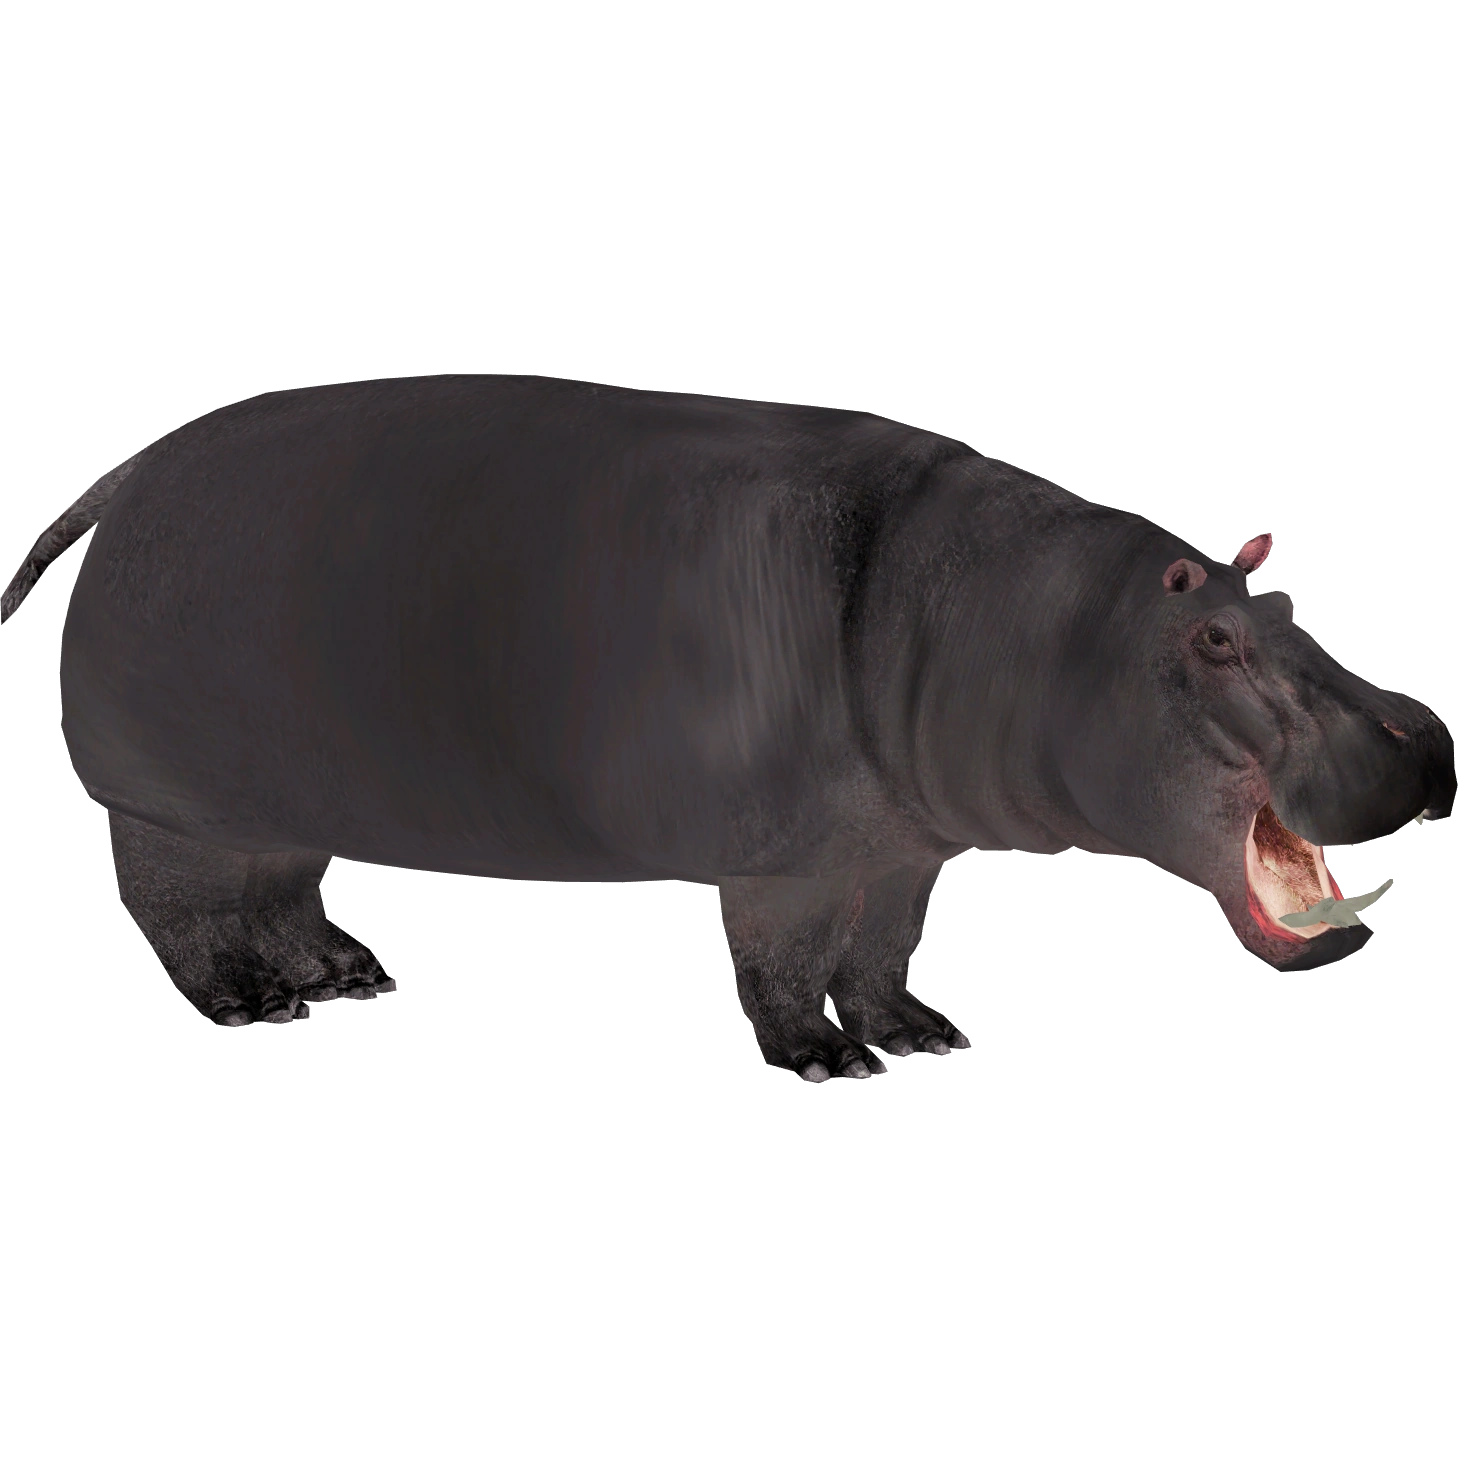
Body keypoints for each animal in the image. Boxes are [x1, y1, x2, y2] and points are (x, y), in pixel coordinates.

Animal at [3, 376, 1452, 1080]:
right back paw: (258, 1008)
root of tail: (126, 476)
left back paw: (337, 975)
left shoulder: (894, 848)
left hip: (274, 802)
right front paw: (832, 1060)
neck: (1016, 619)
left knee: (280, 889)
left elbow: (877, 946)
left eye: (1284, 593)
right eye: (1212, 639)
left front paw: (915, 1035)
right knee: (188, 911)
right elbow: (791, 955)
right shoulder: (791, 853)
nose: (1419, 726)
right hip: (169, 803)